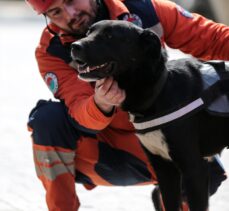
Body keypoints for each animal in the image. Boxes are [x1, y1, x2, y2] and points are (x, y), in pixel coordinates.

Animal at [71, 19, 229, 211]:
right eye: (88, 32)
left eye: (109, 36)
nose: (74, 46)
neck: (159, 91)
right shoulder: (164, 169)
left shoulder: (194, 169)